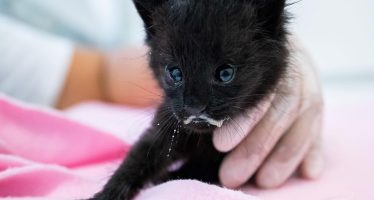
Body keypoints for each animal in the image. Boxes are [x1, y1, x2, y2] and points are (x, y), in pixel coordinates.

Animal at [91, 0, 290, 199]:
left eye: (225, 73)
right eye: (175, 73)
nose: (195, 107)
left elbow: (206, 166)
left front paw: (169, 176)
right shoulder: (167, 124)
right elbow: (139, 156)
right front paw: (107, 193)